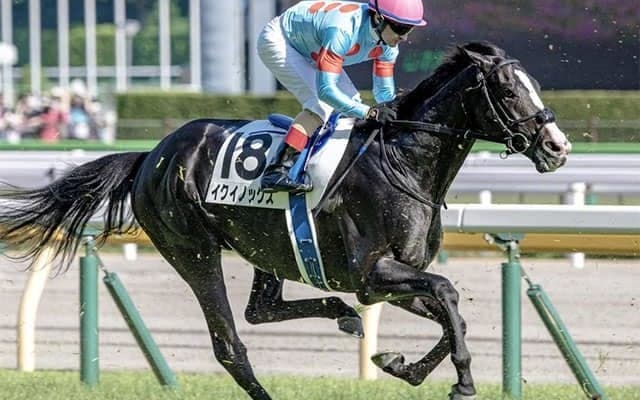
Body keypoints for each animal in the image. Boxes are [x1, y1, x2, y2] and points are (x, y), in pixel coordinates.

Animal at [0, 41, 570, 400]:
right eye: (509, 91)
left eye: (537, 86)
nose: (557, 147)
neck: (402, 160)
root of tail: (150, 156)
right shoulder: (371, 273)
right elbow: (449, 293)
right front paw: (462, 381)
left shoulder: (387, 280)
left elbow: (453, 316)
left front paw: (400, 365)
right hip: (193, 249)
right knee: (231, 344)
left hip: (265, 247)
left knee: (261, 310)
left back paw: (339, 313)